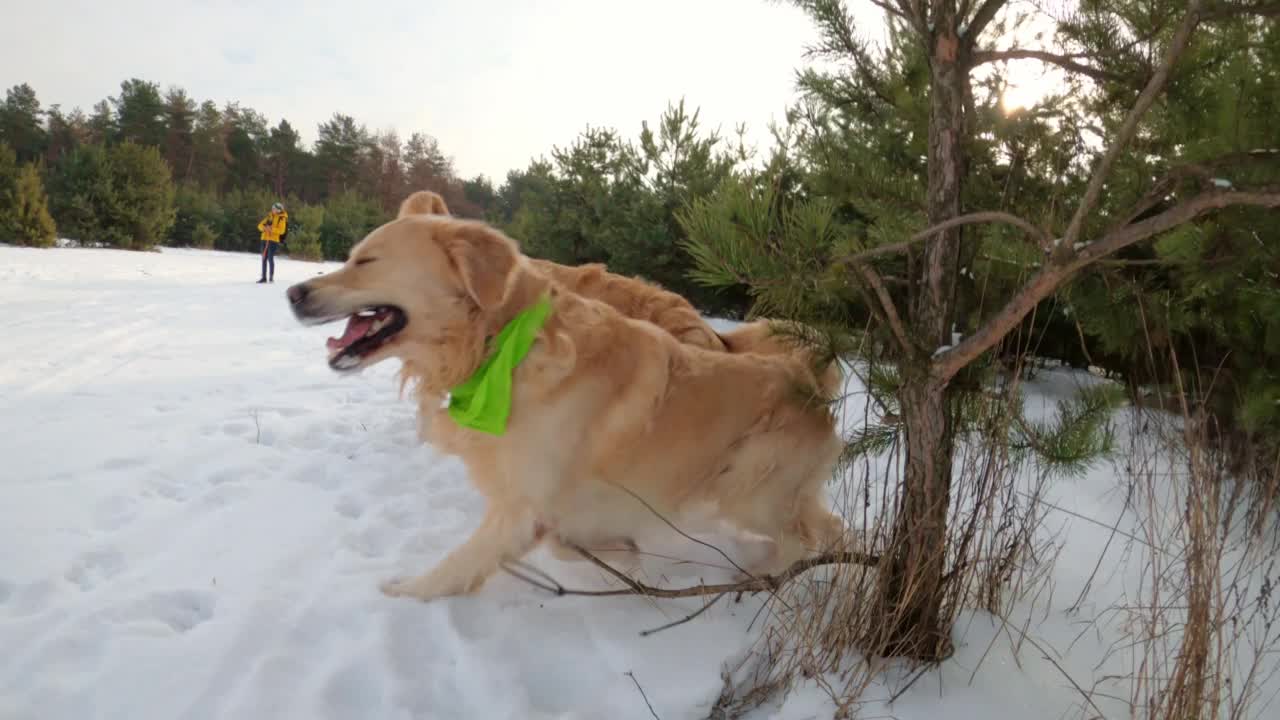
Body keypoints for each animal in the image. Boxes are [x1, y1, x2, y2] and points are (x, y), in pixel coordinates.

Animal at [285, 211, 844, 599]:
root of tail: (810, 379)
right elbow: (567, 540)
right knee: (828, 526)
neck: (501, 348)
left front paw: (404, 593)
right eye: (352, 256)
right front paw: (620, 551)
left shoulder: (523, 505)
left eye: (366, 261)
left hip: (747, 488)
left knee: (805, 537)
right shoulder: (545, 501)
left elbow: (460, 562)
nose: (293, 291)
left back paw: (757, 576)